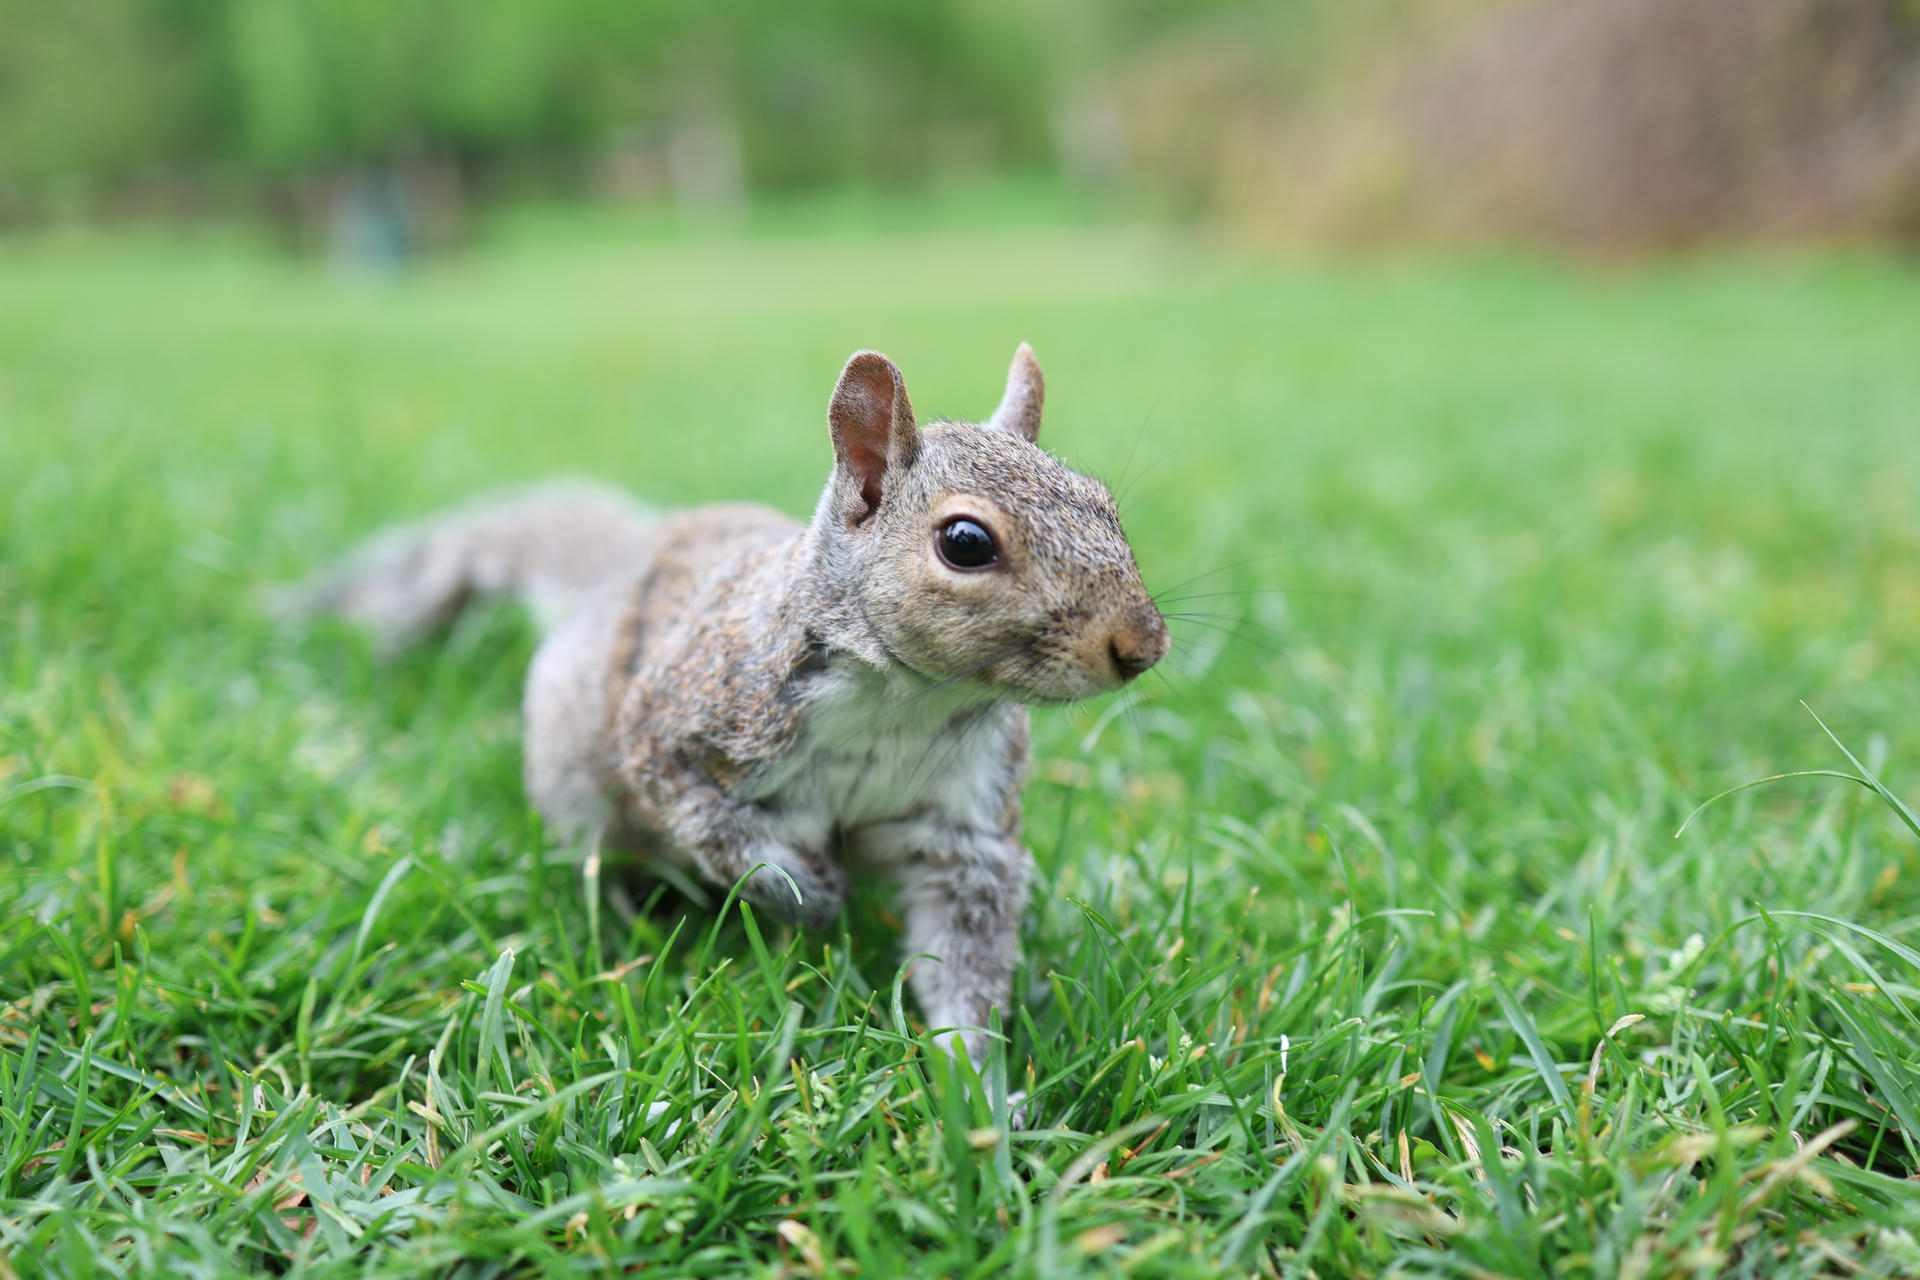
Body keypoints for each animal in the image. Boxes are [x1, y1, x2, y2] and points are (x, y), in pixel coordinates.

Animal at [300, 345, 1169, 1073]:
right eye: (964, 542)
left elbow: (966, 955)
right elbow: (717, 830)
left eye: (1105, 505)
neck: (907, 700)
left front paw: (976, 1086)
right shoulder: (686, 728)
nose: (1142, 645)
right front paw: (809, 895)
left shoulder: (962, 828)